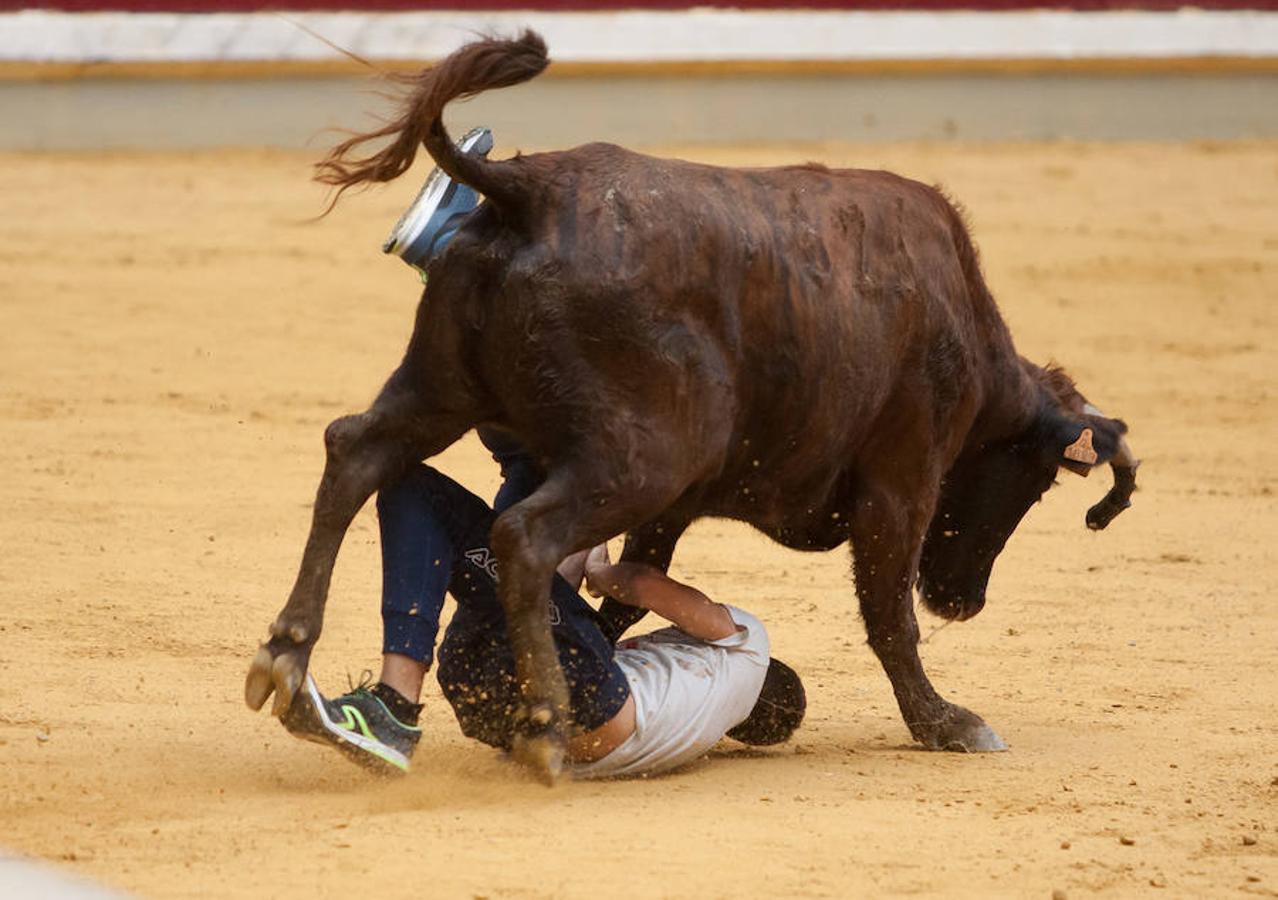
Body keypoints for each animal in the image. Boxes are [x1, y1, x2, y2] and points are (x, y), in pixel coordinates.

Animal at [241, 33, 1139, 782]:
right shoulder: (901, 483)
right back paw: (545, 728)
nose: (964, 601)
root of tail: (530, 188)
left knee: (356, 452)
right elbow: (888, 617)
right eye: (1036, 483)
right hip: (643, 455)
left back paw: (294, 665)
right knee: (523, 535)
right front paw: (945, 722)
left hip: (444, 391)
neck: (964, 329)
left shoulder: (674, 509)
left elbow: (629, 593)